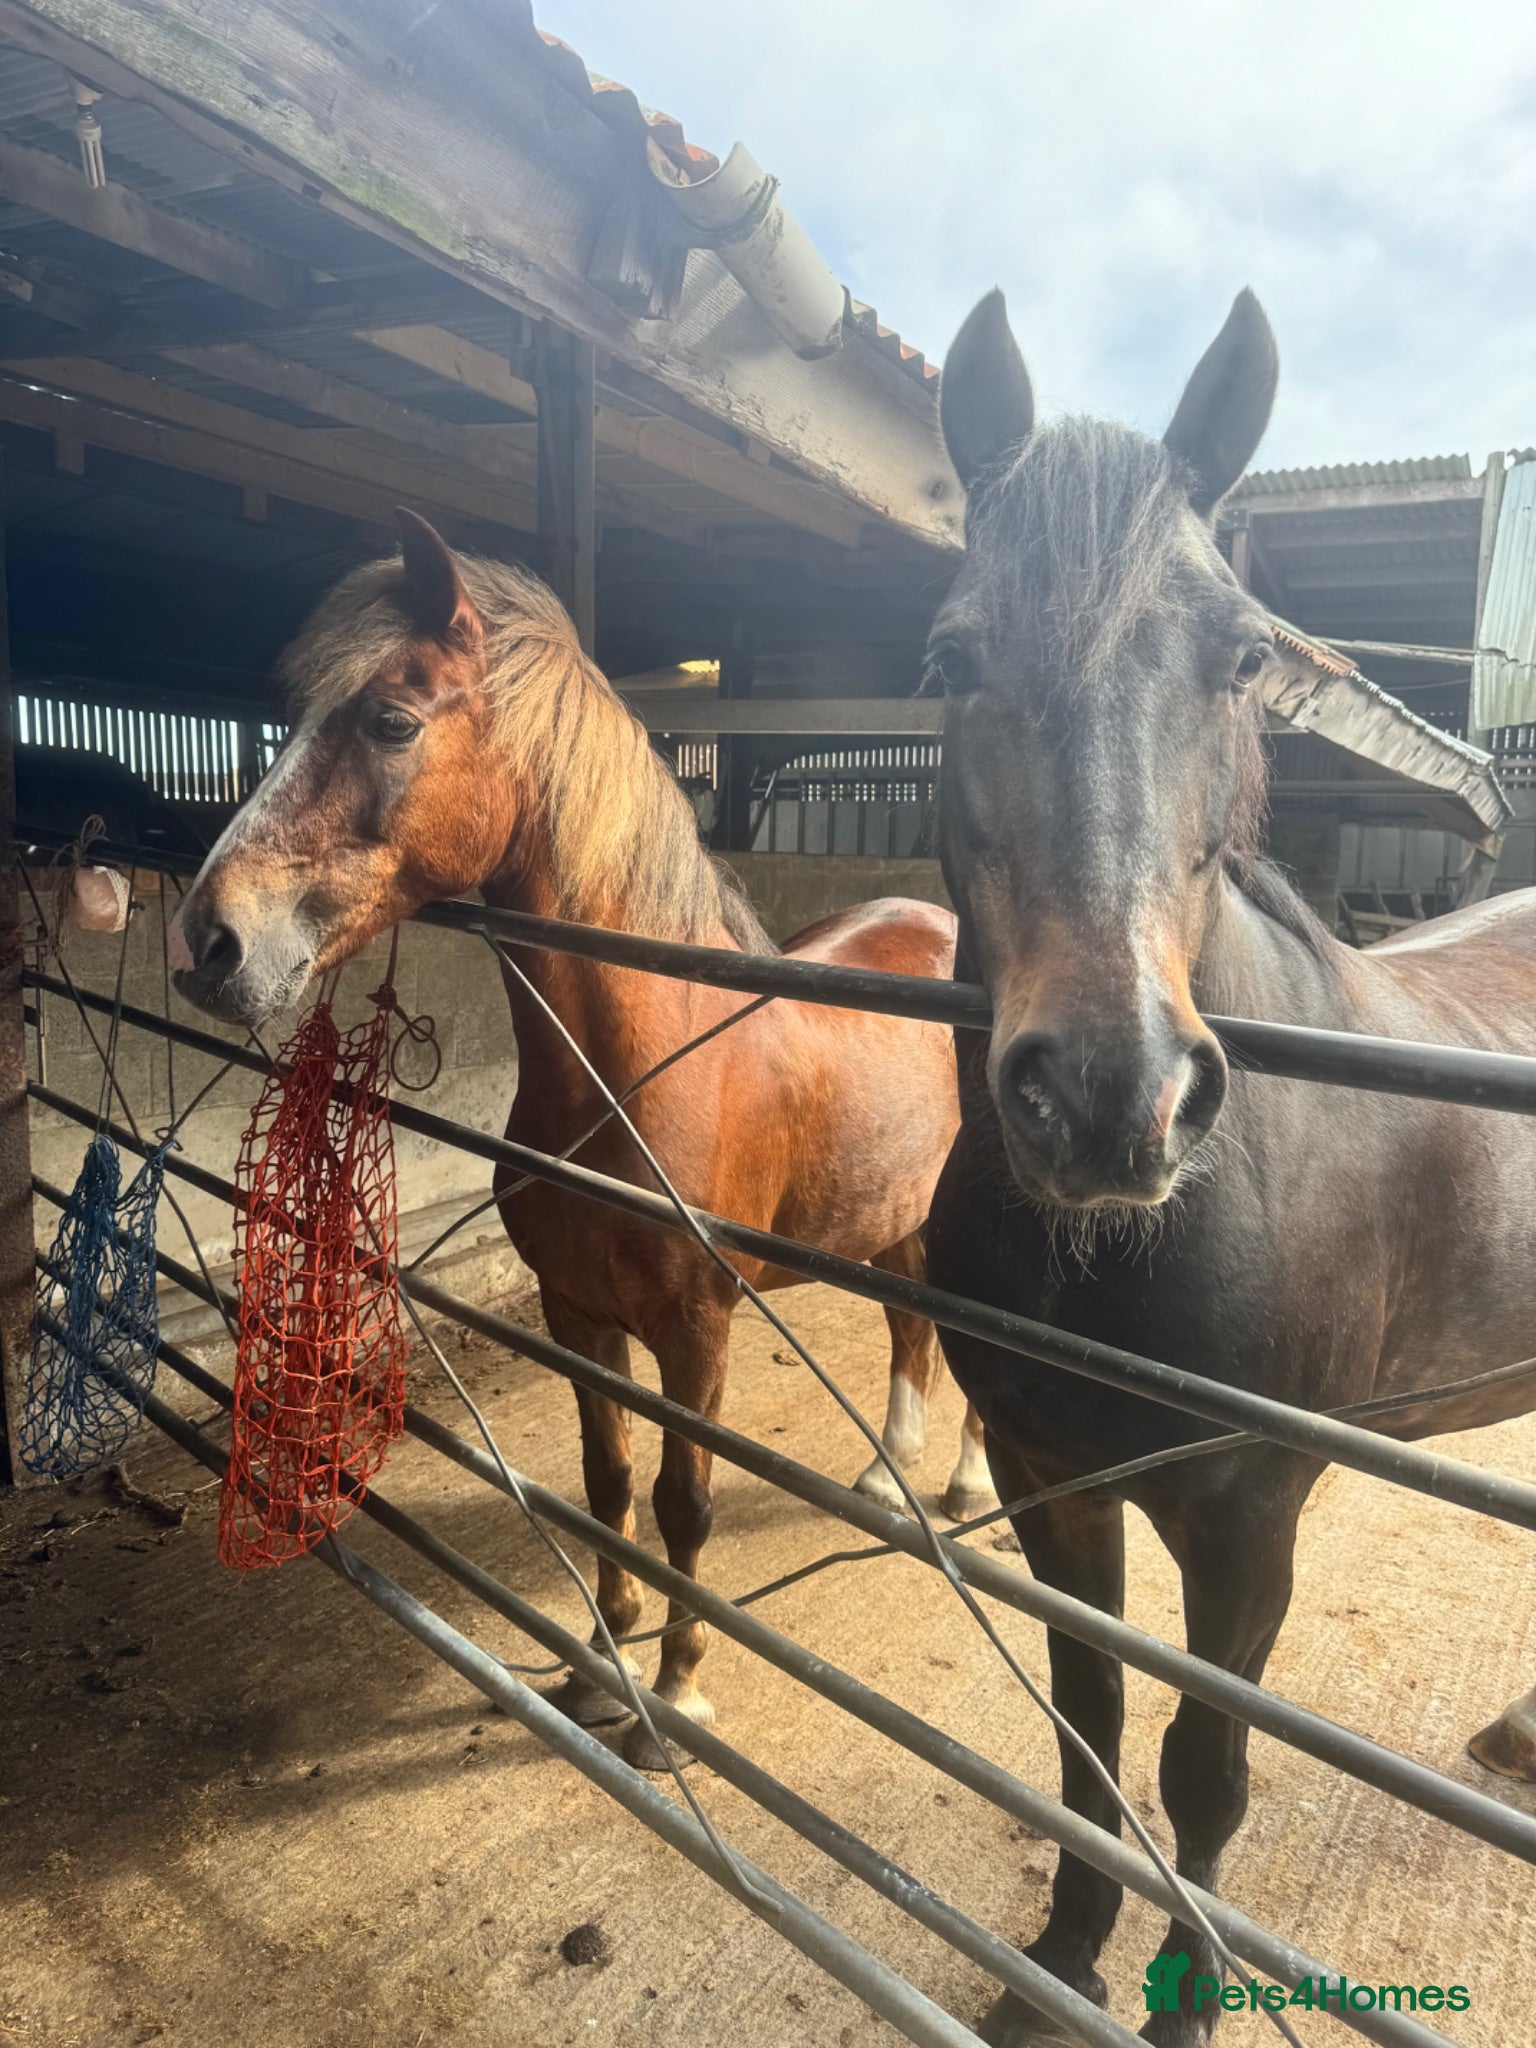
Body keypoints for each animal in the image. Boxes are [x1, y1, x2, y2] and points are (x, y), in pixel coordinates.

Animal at [167, 510, 990, 1768]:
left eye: (391, 718)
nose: (211, 942)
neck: (636, 1075)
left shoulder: (697, 1333)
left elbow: (683, 1504)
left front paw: (680, 1694)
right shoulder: (577, 1315)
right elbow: (606, 1485)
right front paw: (604, 1665)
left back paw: (964, 1489)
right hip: (890, 1219)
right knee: (912, 1329)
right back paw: (889, 1485)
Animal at [923, 286, 1536, 2043]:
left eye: (1245, 656)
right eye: (950, 657)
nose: (1110, 1096)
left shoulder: (1252, 1518)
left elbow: (1204, 1773)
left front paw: (1182, 2004)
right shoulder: (1047, 1480)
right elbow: (1086, 1735)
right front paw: (1059, 1961)